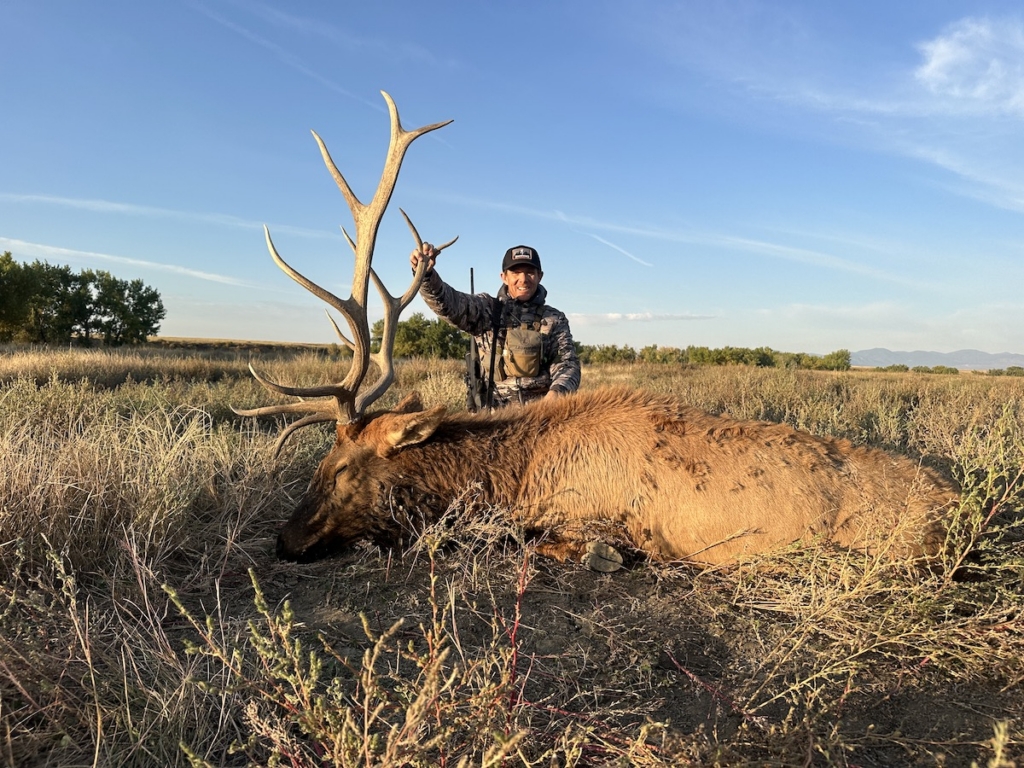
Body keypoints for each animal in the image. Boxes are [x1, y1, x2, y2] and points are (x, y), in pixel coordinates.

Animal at [235, 92, 960, 570]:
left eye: (338, 469)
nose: (284, 539)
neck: (515, 476)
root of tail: (963, 507)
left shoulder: (592, 524)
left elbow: (544, 544)